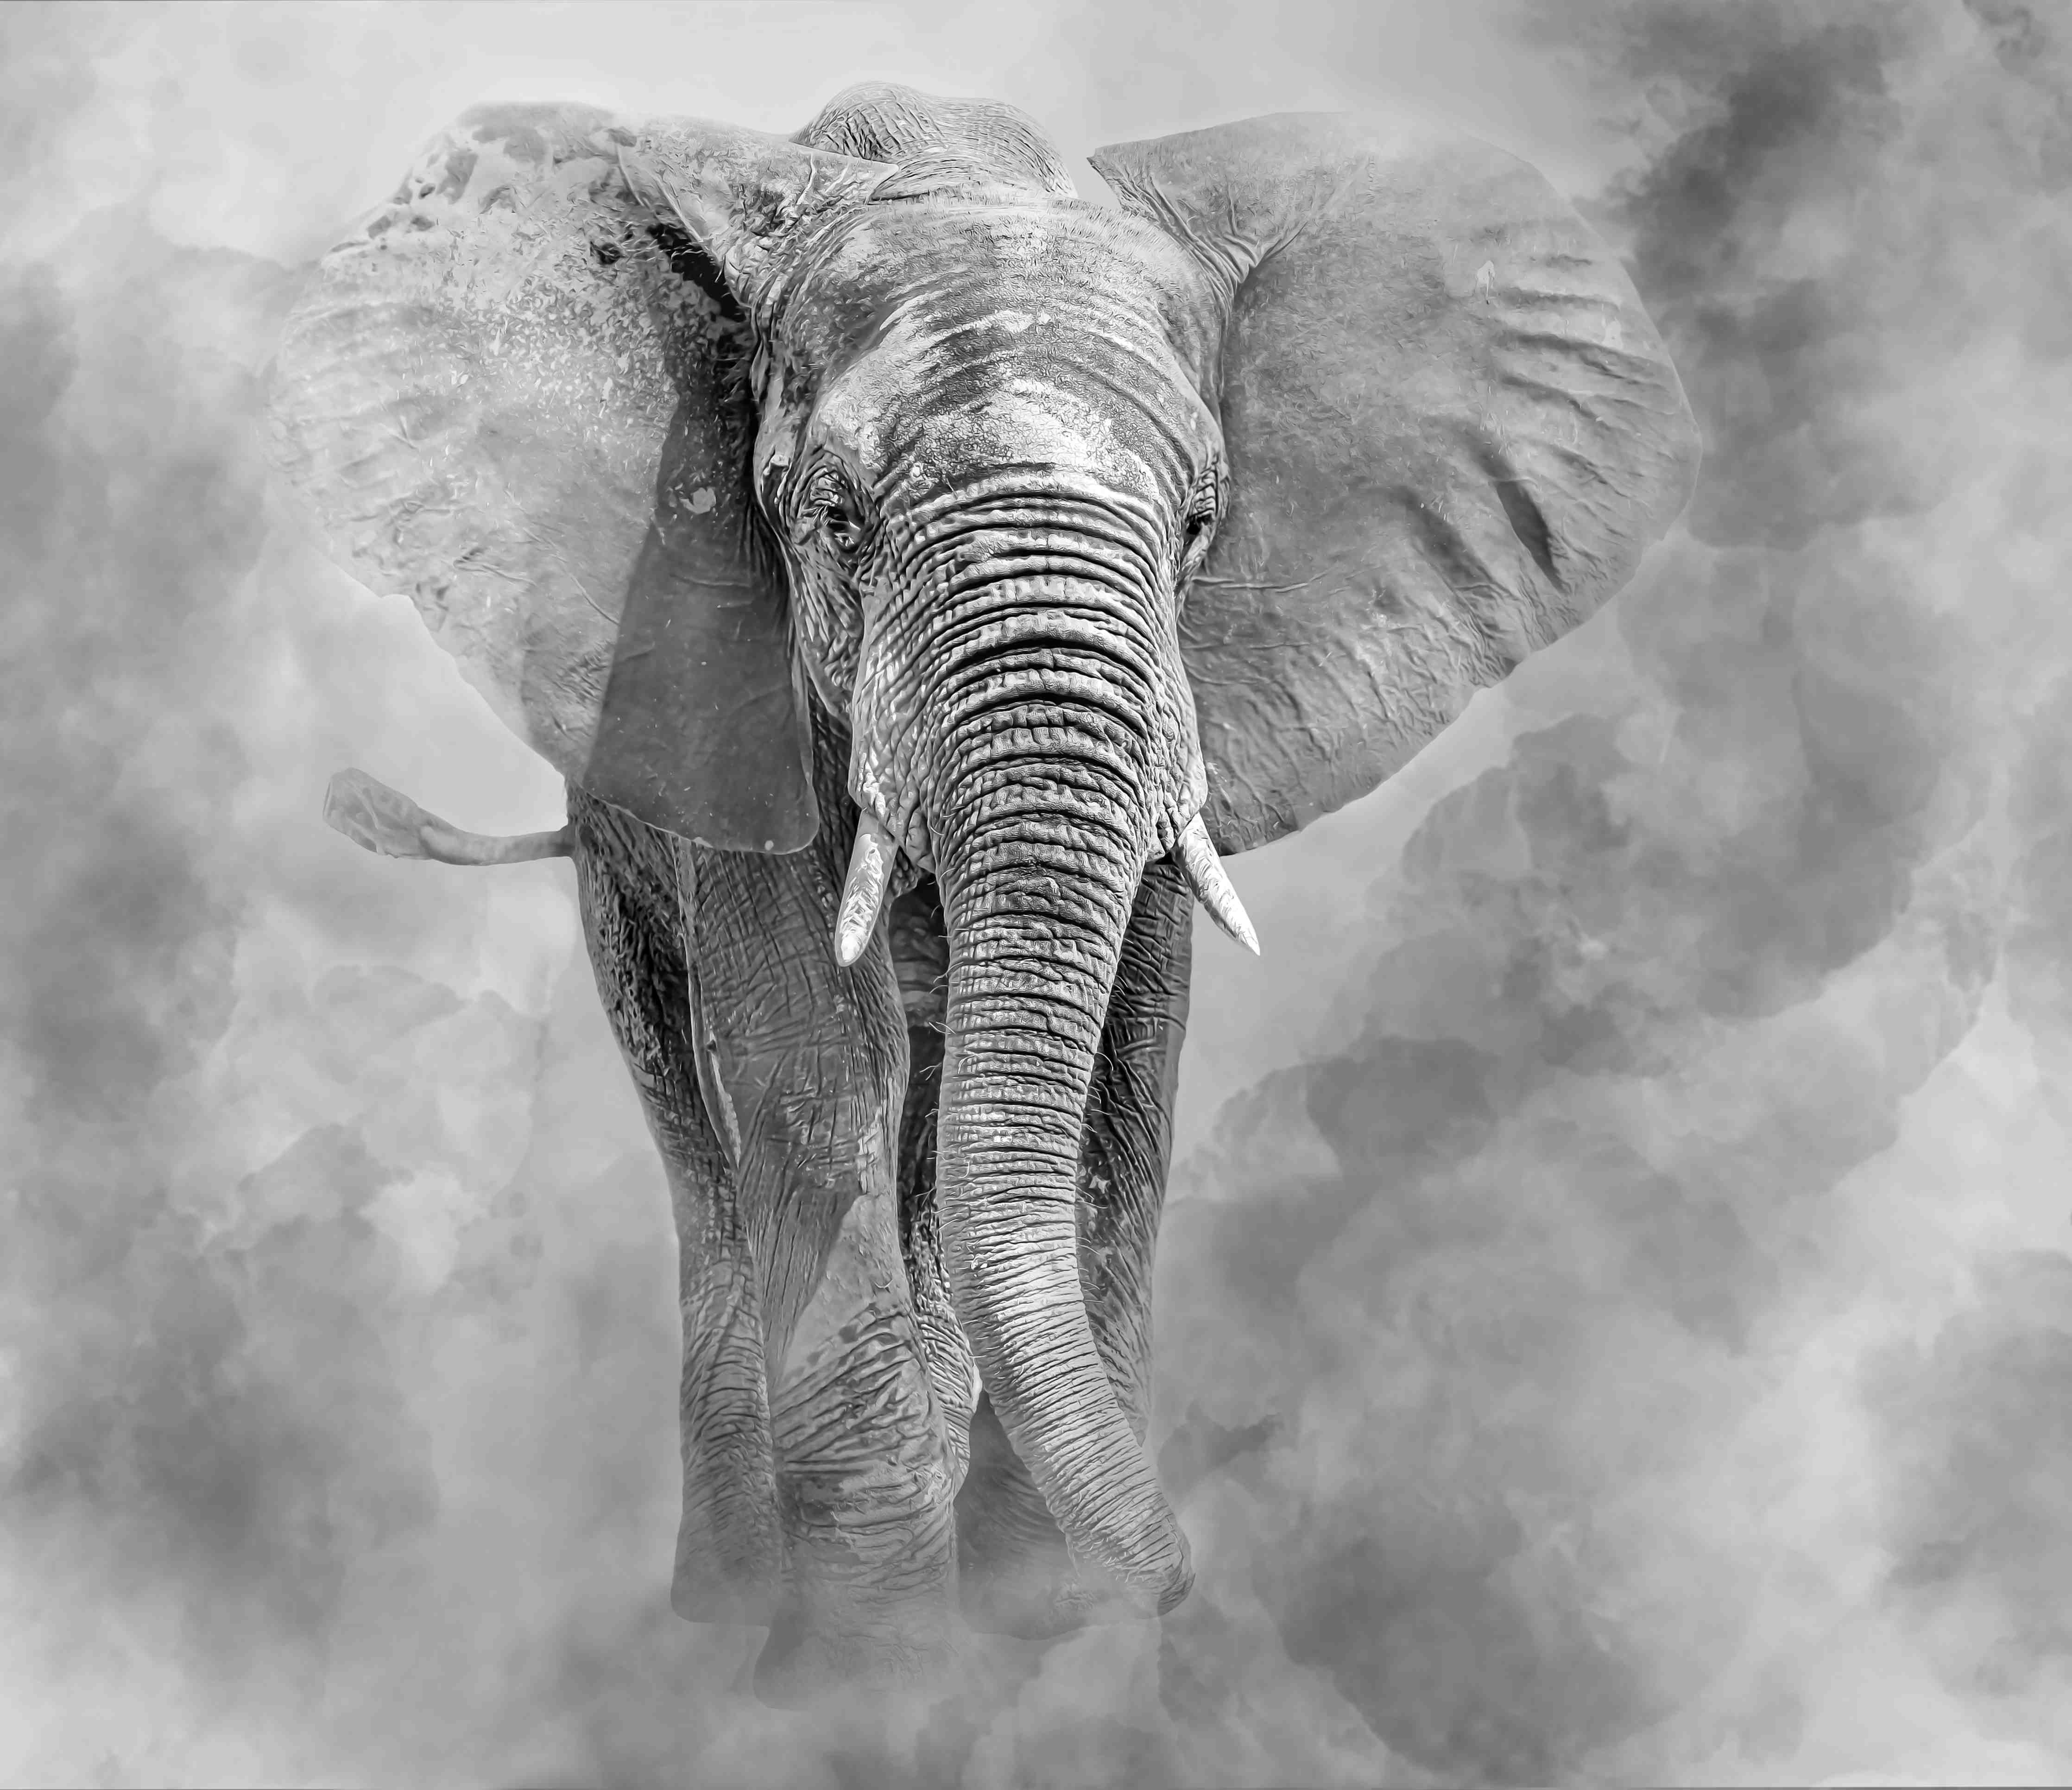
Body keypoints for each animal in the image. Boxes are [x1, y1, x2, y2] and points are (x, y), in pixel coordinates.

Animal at [268, 81, 1699, 1701]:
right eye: (833, 521)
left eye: (1198, 527)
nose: (1188, 1581)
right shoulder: (725, 693)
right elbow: (818, 1081)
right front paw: (869, 1678)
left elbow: (1120, 1098)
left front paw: (1044, 1634)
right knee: (700, 1140)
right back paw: (722, 1613)